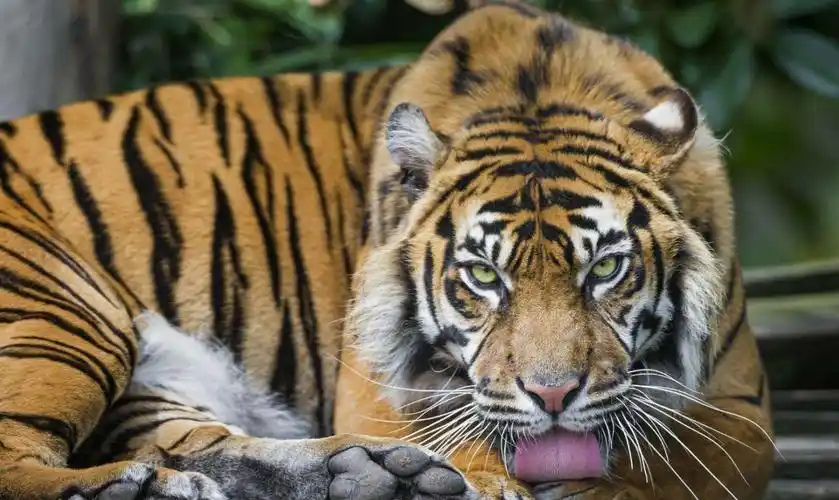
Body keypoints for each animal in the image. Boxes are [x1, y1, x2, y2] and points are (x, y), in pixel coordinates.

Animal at [0, 2, 774, 500]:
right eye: (482, 276)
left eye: (606, 269)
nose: (553, 396)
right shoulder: (375, 390)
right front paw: (490, 481)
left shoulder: (741, 414)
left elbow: (655, 465)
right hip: (67, 308)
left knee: (184, 443)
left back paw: (368, 475)